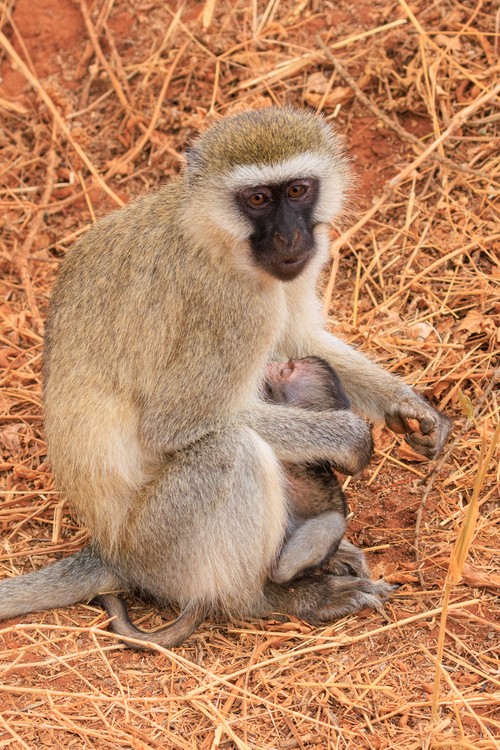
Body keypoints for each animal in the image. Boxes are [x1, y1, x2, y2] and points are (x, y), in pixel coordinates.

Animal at [0, 108, 451, 650]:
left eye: (297, 190)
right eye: (257, 199)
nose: (289, 239)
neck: (214, 234)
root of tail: (109, 551)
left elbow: (299, 339)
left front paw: (407, 406)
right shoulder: (236, 307)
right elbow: (176, 424)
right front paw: (349, 437)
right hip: (158, 544)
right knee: (232, 450)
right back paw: (272, 598)